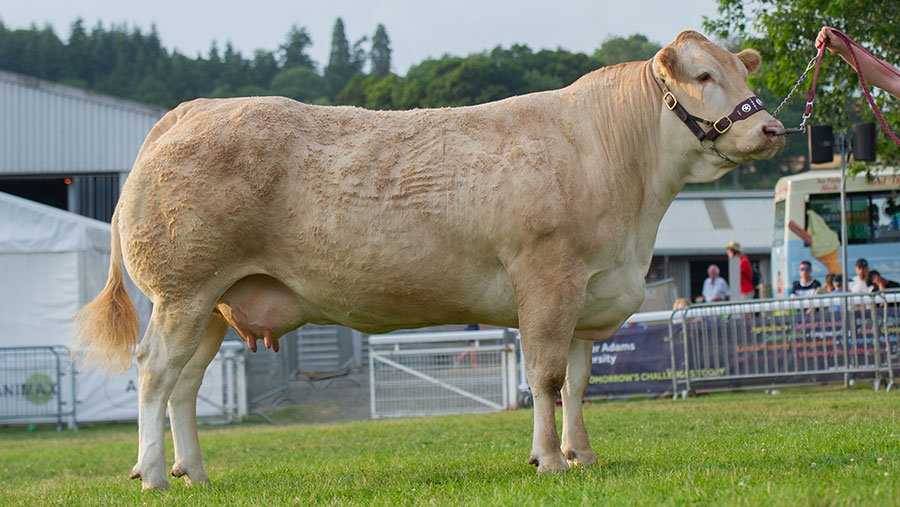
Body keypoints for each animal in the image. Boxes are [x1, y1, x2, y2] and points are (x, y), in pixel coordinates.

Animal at [75, 30, 780, 488]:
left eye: (746, 76)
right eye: (704, 77)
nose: (771, 127)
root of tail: (189, 111)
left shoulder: (590, 291)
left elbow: (580, 383)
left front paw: (583, 455)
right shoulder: (546, 280)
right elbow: (545, 378)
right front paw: (549, 461)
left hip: (214, 303)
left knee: (185, 384)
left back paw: (191, 470)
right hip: (182, 292)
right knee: (154, 371)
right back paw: (152, 474)